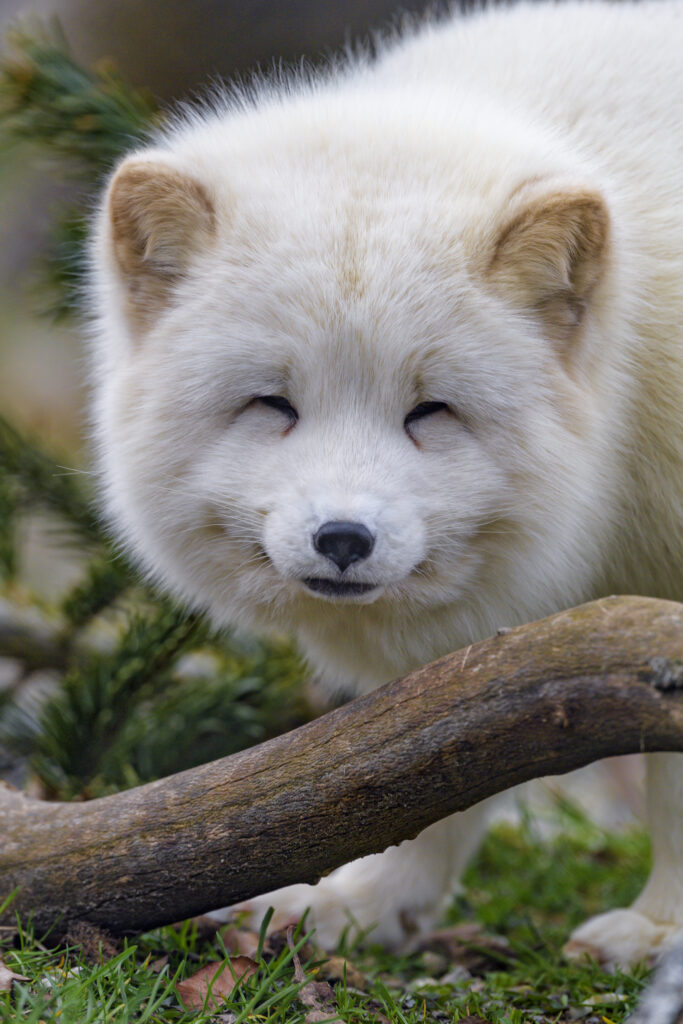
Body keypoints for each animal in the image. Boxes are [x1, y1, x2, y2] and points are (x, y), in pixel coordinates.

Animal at [89, 0, 683, 965]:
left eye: (429, 411)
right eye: (273, 404)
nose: (342, 538)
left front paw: (661, 930)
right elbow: (421, 762)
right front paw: (370, 904)